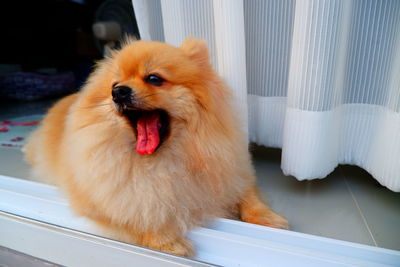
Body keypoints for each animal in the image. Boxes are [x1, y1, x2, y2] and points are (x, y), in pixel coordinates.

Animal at [24, 37, 288, 258]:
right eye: (114, 84)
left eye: (154, 78)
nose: (118, 92)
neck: (166, 160)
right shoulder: (103, 198)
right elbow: (136, 217)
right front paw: (167, 241)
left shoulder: (232, 172)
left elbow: (248, 196)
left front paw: (268, 218)